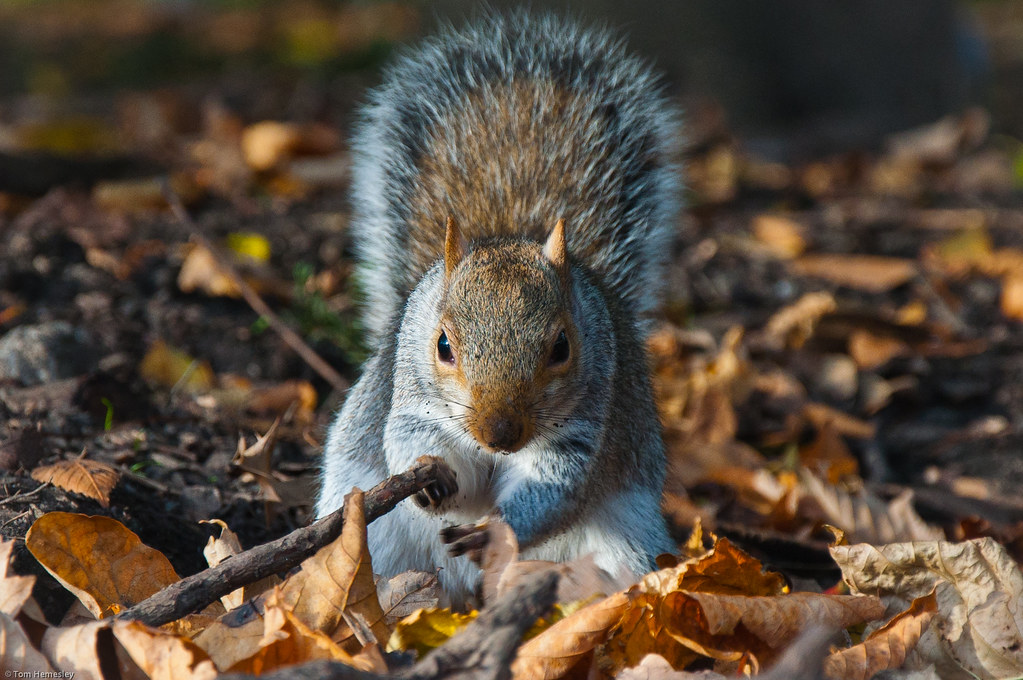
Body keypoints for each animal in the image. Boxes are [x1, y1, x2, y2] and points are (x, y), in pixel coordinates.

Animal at [316, 13, 682, 603]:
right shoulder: (411, 400)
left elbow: (554, 491)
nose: (500, 435)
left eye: (562, 347)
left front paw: (494, 530)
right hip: (375, 533)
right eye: (443, 345)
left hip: (625, 539)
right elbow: (411, 443)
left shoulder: (586, 428)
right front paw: (435, 476)